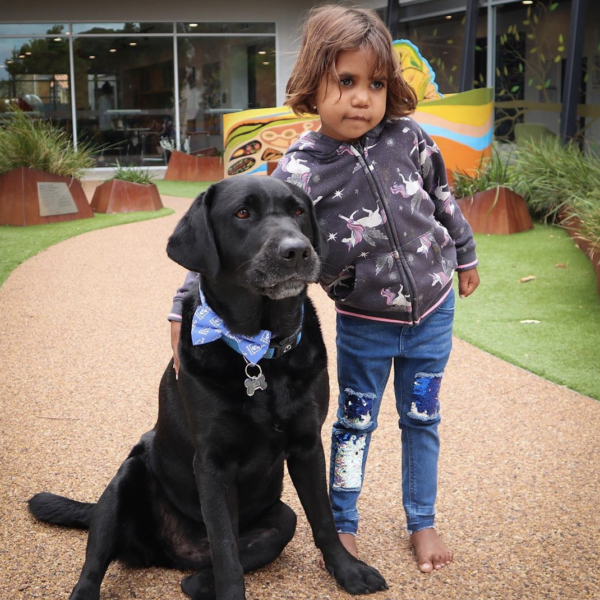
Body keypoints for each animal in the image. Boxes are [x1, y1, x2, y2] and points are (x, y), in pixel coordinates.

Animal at [28, 176, 386, 596]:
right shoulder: (212, 464)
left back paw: (198, 581)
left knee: (224, 558)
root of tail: (168, 552)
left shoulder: (307, 444)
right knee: (95, 563)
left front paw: (348, 570)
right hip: (123, 482)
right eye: (242, 213)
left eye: (298, 211)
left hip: (281, 517)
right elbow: (226, 548)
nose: (297, 250)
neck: (259, 351)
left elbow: (324, 520)